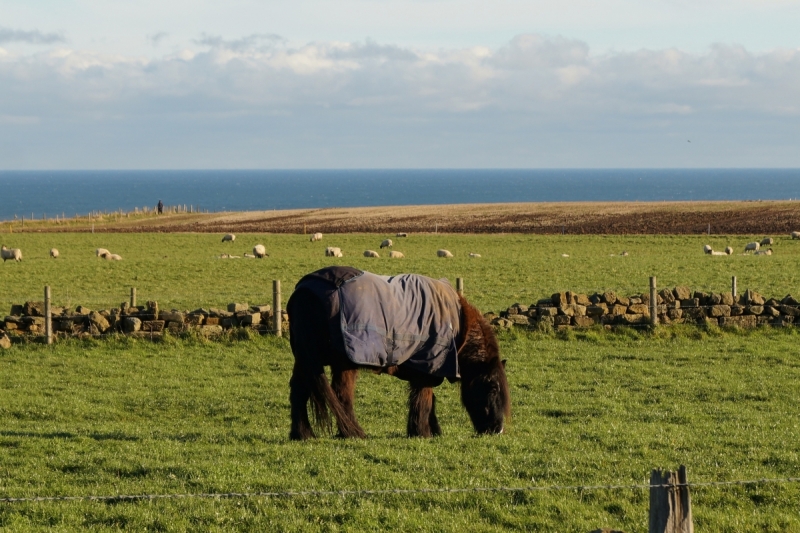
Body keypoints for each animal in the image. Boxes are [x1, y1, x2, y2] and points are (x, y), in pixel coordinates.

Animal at [288, 264, 512, 438]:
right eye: (492, 388)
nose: (497, 429)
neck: (457, 324)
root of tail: (306, 293)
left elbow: (427, 401)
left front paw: (430, 431)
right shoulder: (427, 369)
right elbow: (424, 401)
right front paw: (422, 432)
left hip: (307, 361)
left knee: (299, 391)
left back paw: (303, 434)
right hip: (343, 363)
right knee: (342, 396)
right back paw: (352, 432)